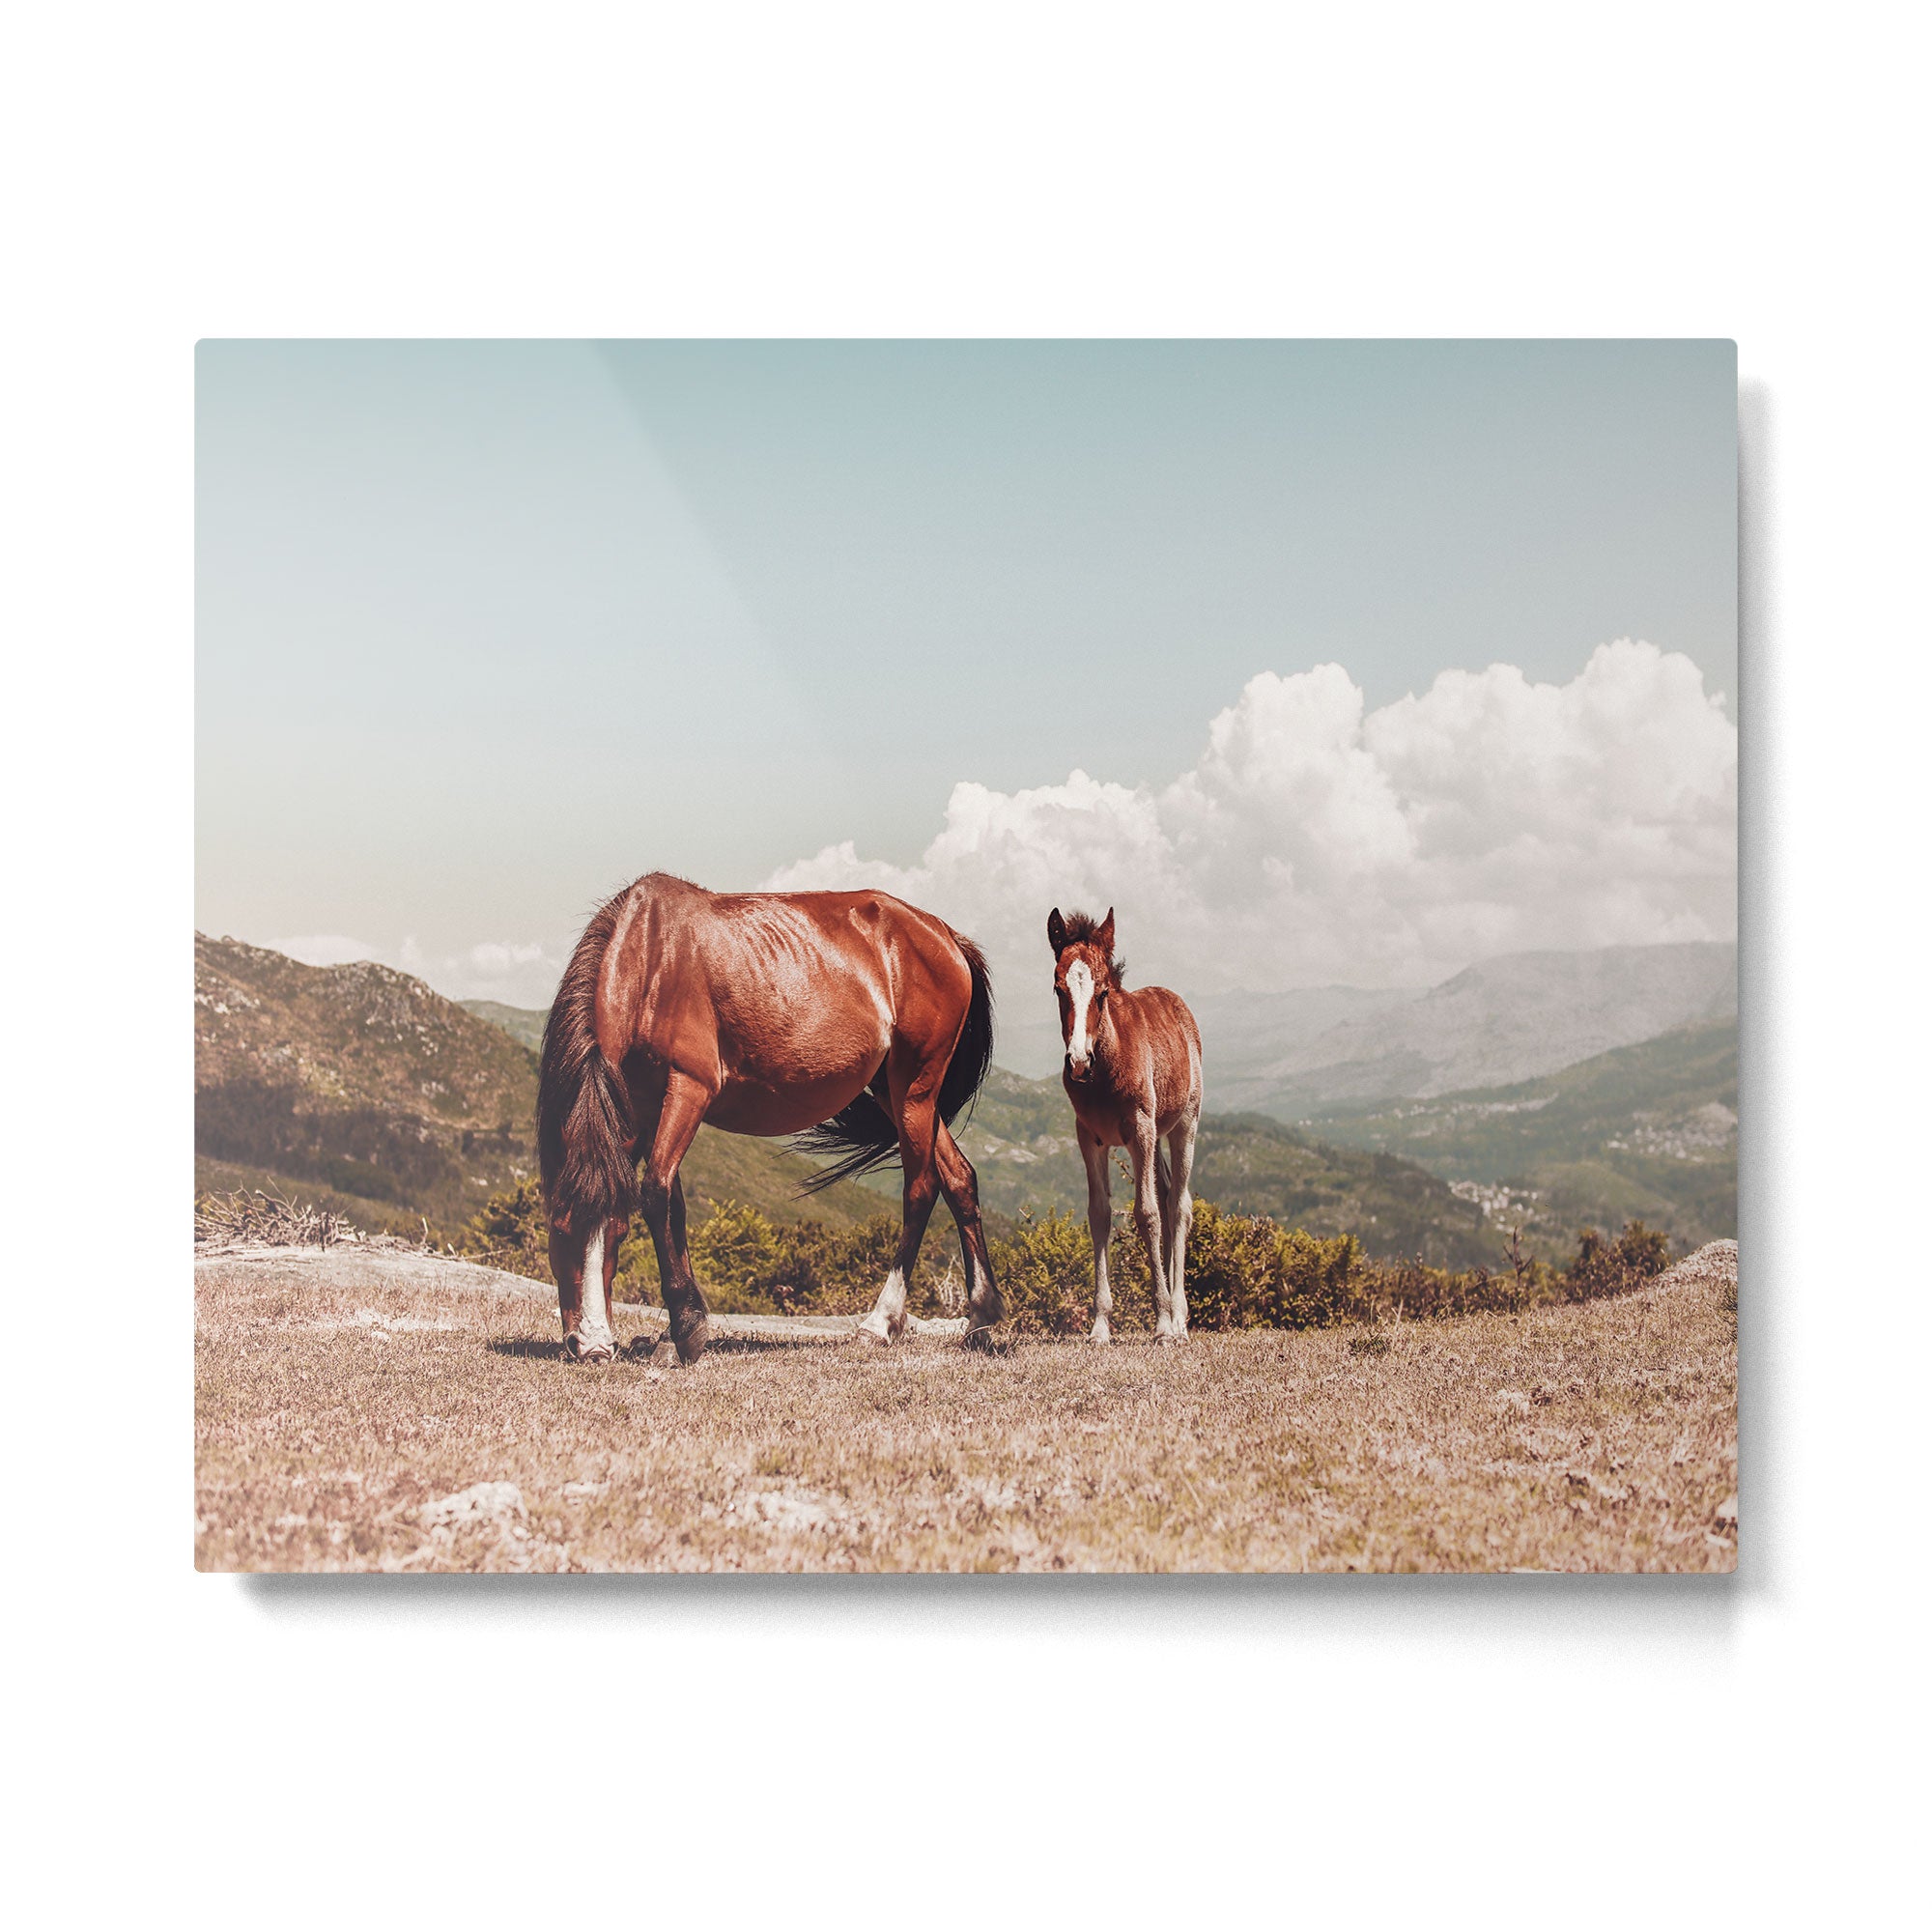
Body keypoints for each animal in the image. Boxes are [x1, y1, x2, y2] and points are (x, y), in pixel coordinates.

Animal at [537, 873, 1003, 1364]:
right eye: (559, 1229)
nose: (590, 1345)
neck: (651, 958)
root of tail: (945, 935)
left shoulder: (689, 1088)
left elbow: (655, 1192)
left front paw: (684, 1331)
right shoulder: (644, 1106)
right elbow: (670, 1202)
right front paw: (681, 1328)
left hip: (914, 1087)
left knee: (921, 1187)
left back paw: (881, 1323)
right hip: (894, 1094)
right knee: (959, 1178)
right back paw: (982, 1317)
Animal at [1047, 906, 1203, 1344]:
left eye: (1102, 992)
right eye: (1058, 990)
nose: (1078, 1062)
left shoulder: (1140, 1132)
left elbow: (1147, 1214)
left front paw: (1163, 1323)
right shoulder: (1090, 1138)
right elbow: (1099, 1214)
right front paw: (1100, 1326)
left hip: (1184, 1125)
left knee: (1178, 1205)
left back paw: (1179, 1317)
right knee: (1167, 1196)